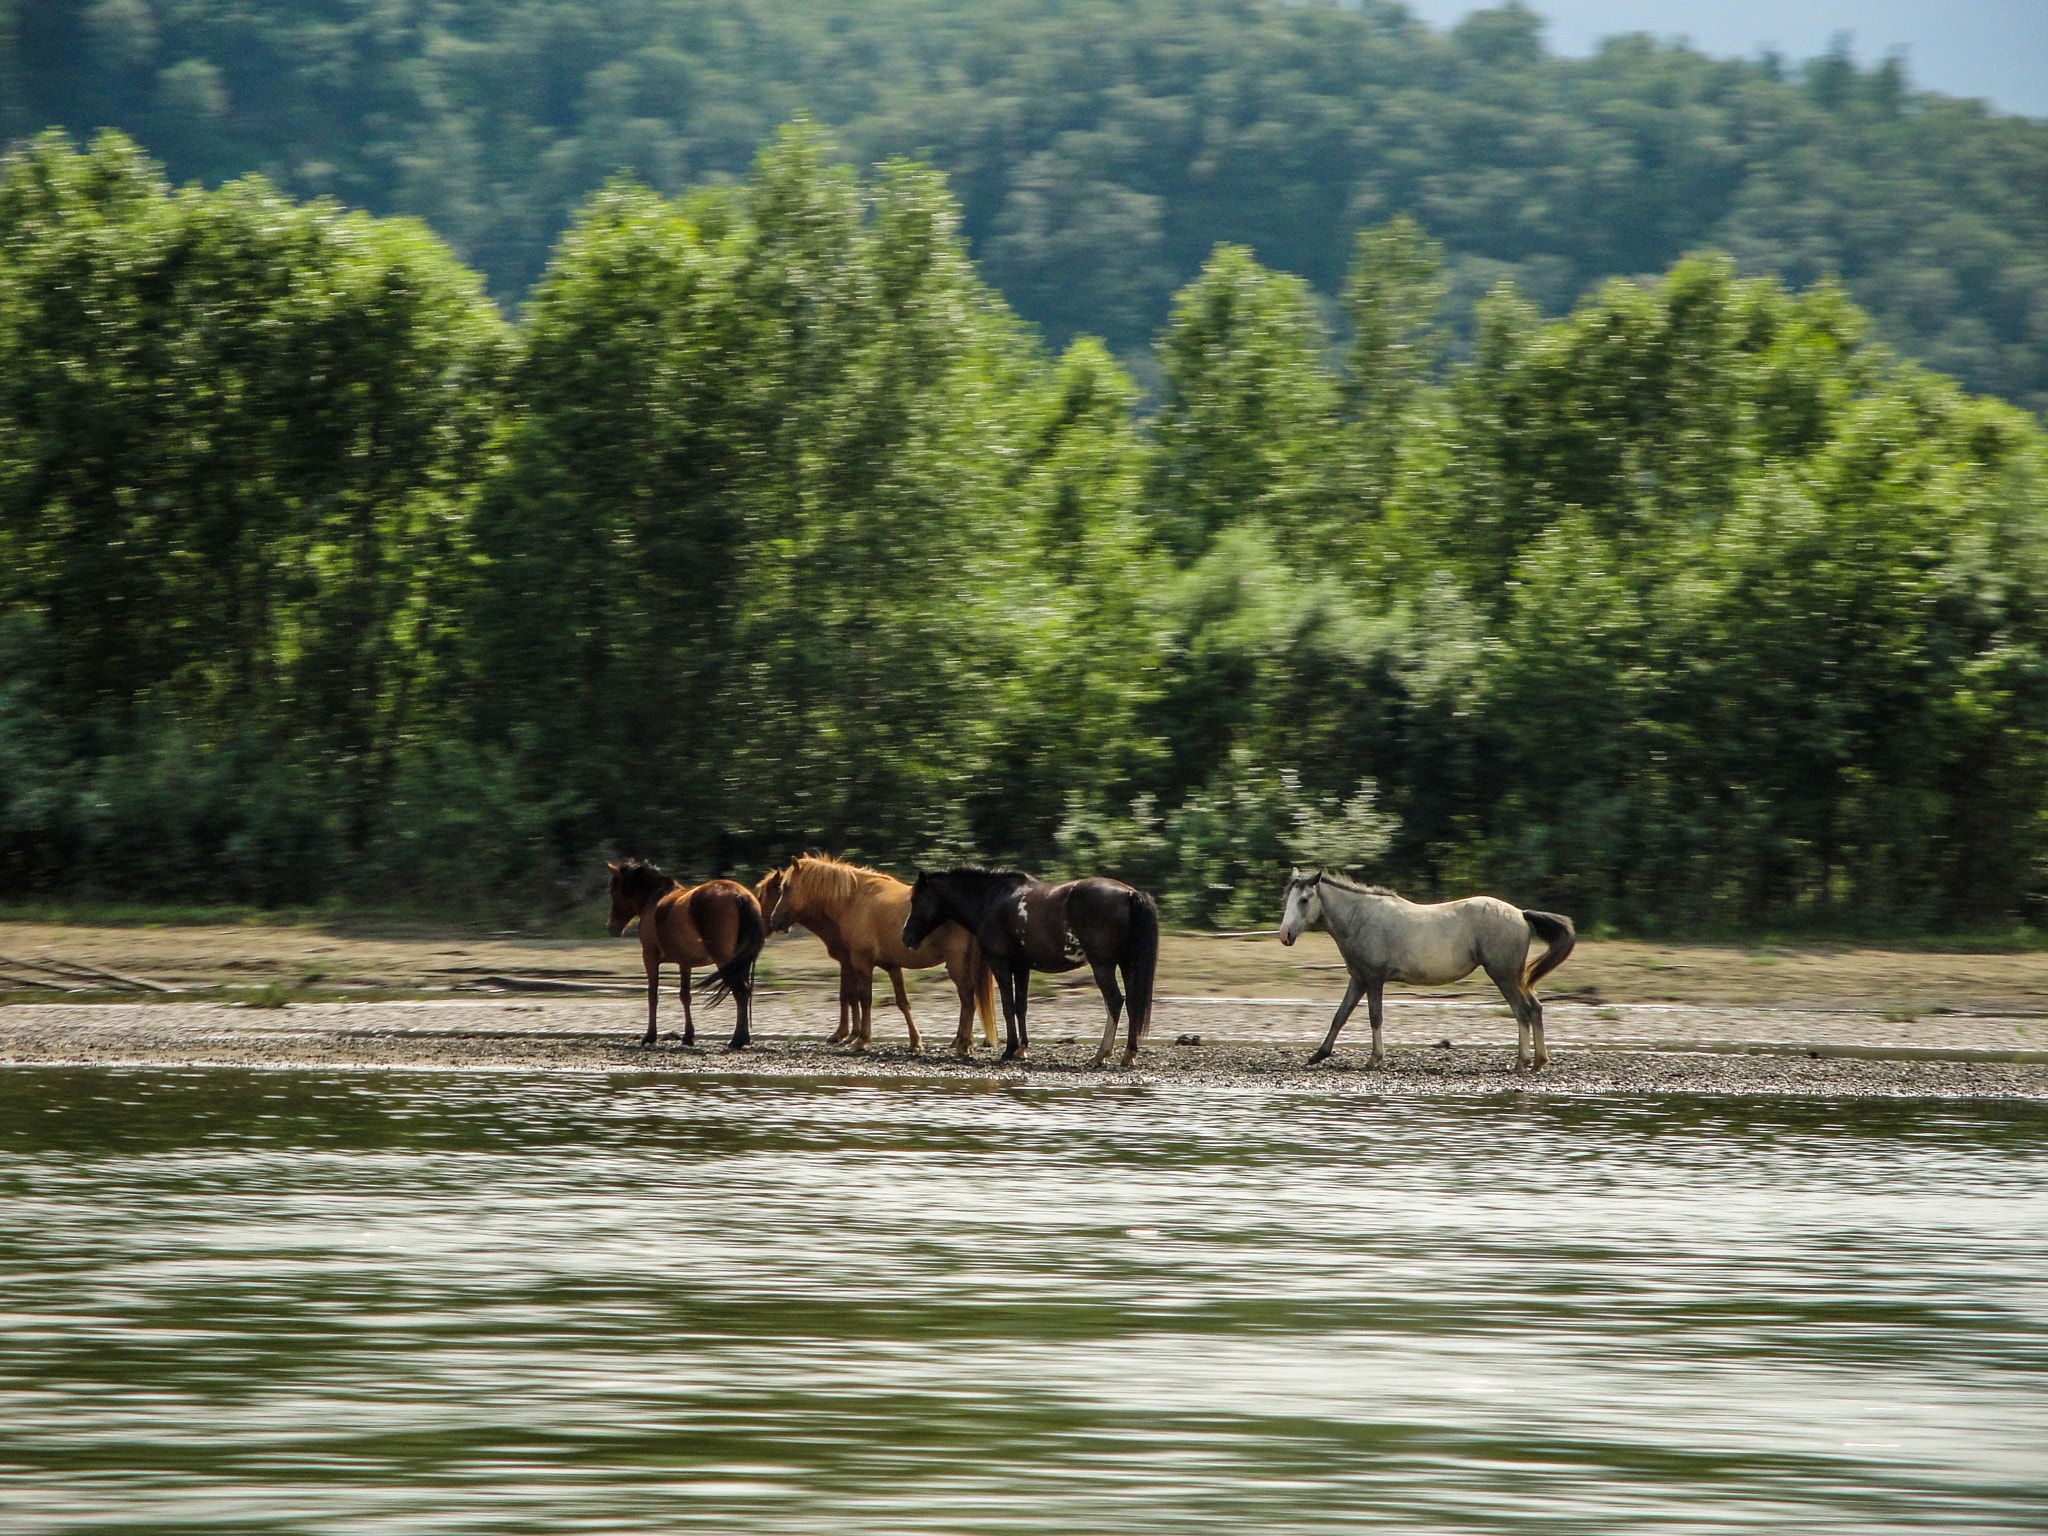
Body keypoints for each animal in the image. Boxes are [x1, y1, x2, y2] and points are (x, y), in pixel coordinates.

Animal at [610, 860, 770, 1056]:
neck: (655, 900)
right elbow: (685, 996)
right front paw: (688, 1036)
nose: (612, 927)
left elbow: (653, 995)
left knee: (740, 993)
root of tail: (740, 896)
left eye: (613, 890)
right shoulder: (684, 963)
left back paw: (736, 1040)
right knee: (745, 992)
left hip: (725, 961)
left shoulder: (650, 957)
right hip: (740, 962)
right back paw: (743, 1038)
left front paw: (650, 1036)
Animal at [761, 856, 999, 1056]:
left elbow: (863, 999)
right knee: (968, 1000)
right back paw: (961, 1040)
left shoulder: (860, 962)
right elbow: (902, 1002)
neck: (854, 900)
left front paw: (861, 1039)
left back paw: (964, 1044)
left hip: (957, 963)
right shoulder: (891, 966)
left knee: (967, 998)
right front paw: (915, 1042)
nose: (773, 921)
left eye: (786, 888)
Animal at [905, 868, 1163, 1073]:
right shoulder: (1021, 967)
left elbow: (1008, 1005)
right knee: (1132, 1003)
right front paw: (1022, 1049)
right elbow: (1021, 1006)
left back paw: (1101, 1054)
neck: (992, 900)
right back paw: (1128, 1054)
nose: (906, 937)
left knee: (1115, 1002)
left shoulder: (1001, 964)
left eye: (916, 900)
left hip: (1103, 966)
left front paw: (1009, 1050)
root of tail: (1130, 894)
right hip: (1126, 964)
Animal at [1277, 872, 1581, 1073]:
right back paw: (1539, 1061)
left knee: (1523, 1012)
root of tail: (1519, 913)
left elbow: (1375, 1017)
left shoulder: (1374, 979)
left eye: (1305, 899)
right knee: (1536, 1008)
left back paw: (1521, 1062)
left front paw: (1375, 1059)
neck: (1360, 919)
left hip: (1503, 976)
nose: (1284, 935)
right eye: (1288, 898)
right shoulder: (1359, 978)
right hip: (1515, 977)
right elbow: (1340, 1016)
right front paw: (1319, 1054)